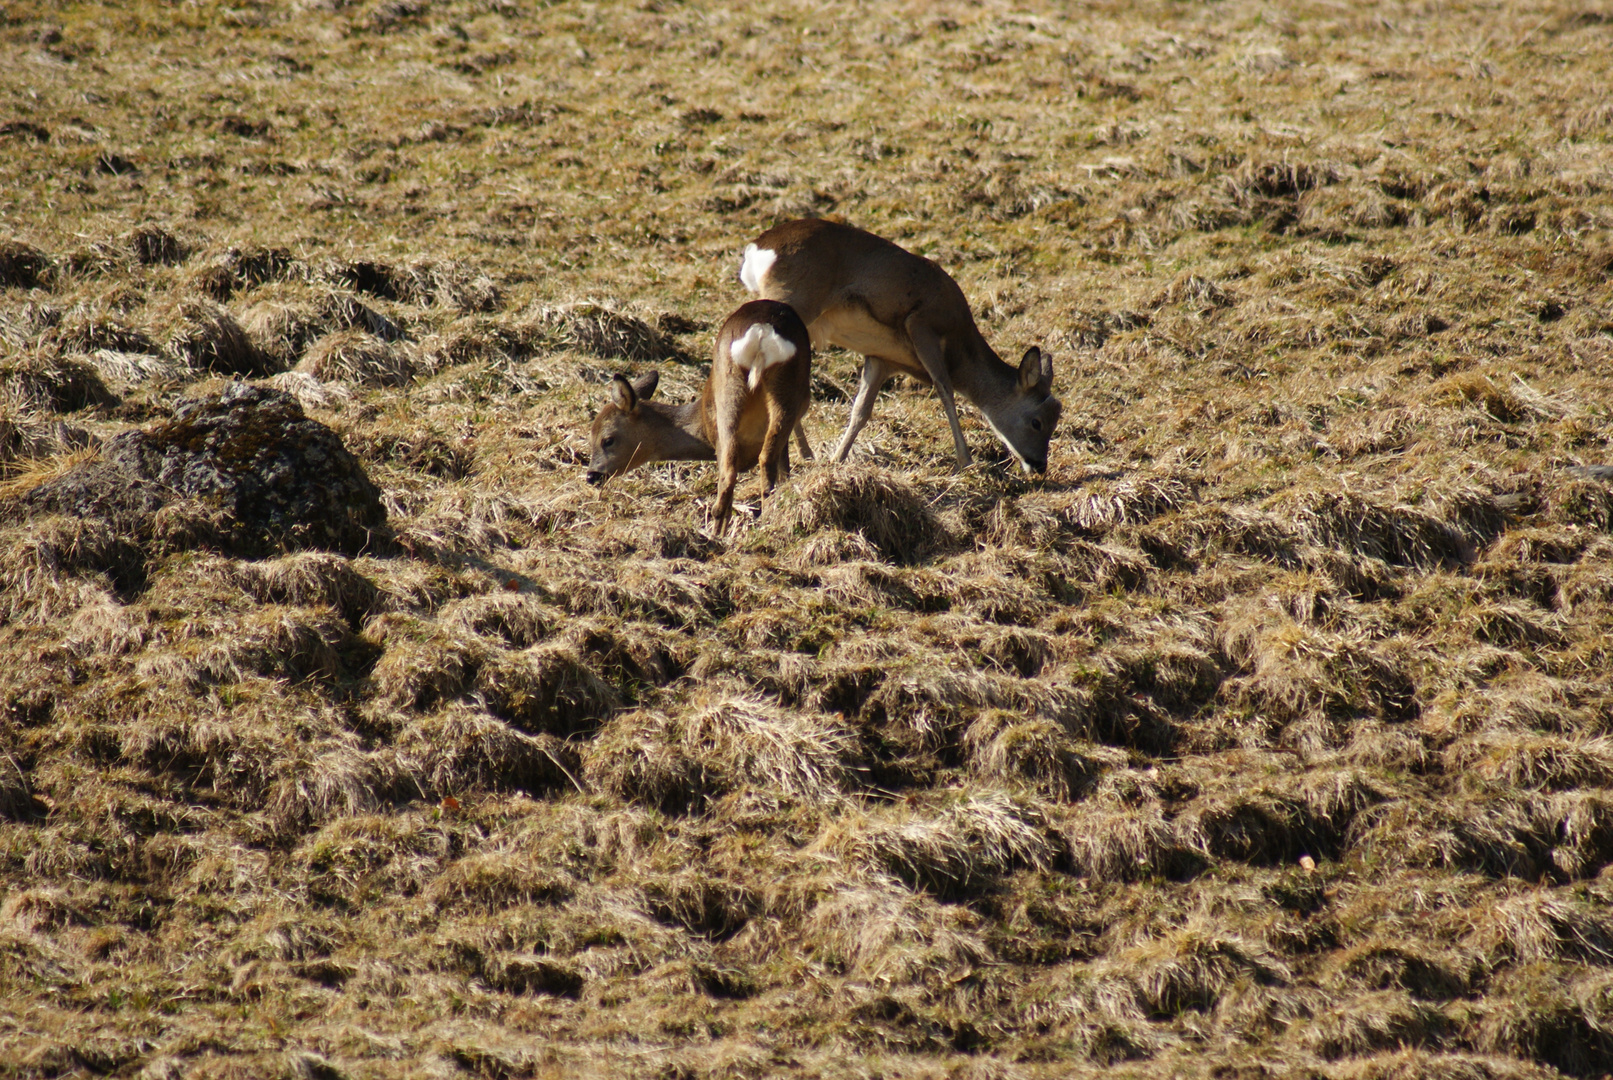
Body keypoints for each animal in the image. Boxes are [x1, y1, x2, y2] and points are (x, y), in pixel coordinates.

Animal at [587, 299, 812, 528]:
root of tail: (761, 330)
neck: (701, 425)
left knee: (731, 473)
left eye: (607, 440)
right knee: (762, 459)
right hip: (780, 390)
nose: (591, 475)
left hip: (736, 388)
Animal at [738, 219, 1058, 473]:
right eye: (1037, 422)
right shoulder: (921, 323)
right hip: (794, 298)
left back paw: (804, 453)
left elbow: (861, 411)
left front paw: (838, 459)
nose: (1040, 465)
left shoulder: (881, 358)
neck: (960, 345)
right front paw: (966, 461)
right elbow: (944, 389)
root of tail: (757, 248)